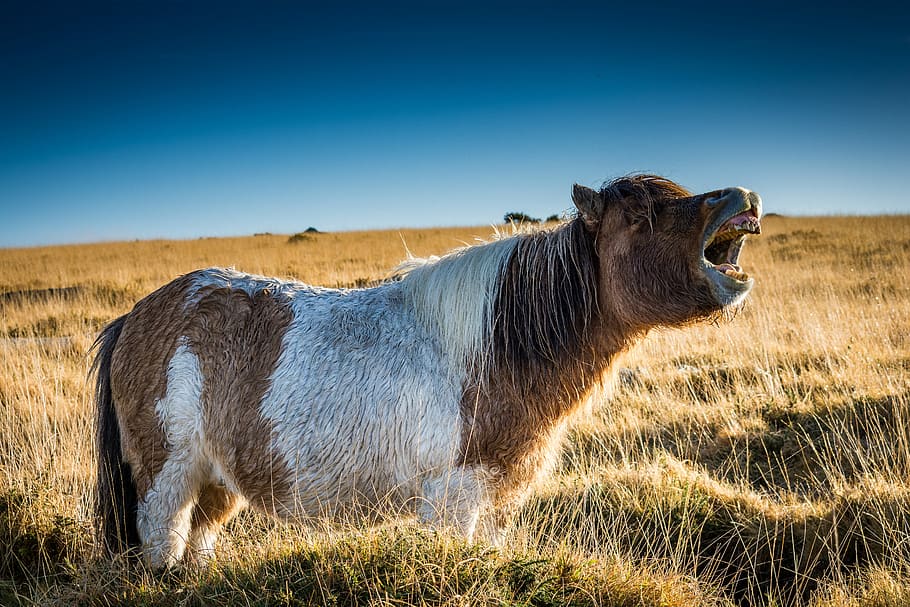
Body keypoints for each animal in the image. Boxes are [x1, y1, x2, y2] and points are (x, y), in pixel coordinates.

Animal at [93, 174, 762, 568]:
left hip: (215, 483)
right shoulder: (453, 497)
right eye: (642, 213)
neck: (496, 345)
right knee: (162, 543)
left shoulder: (496, 499)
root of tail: (135, 316)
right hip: (166, 480)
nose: (743, 198)